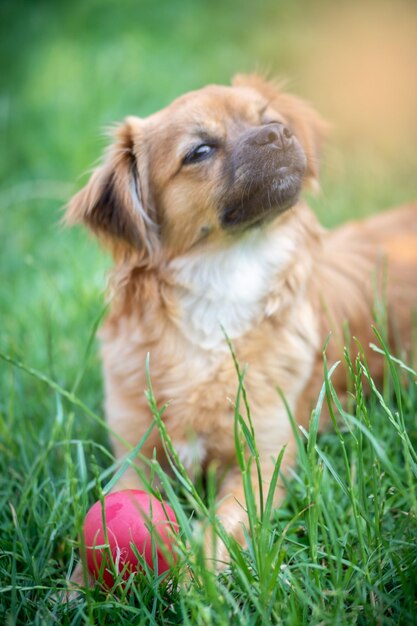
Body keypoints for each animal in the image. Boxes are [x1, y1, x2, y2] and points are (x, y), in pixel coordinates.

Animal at [66, 73, 416, 564]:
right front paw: (78, 582)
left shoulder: (263, 461)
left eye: (269, 118)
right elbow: (104, 516)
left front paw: (195, 575)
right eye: (199, 151)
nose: (278, 133)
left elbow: (221, 527)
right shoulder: (135, 455)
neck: (225, 282)